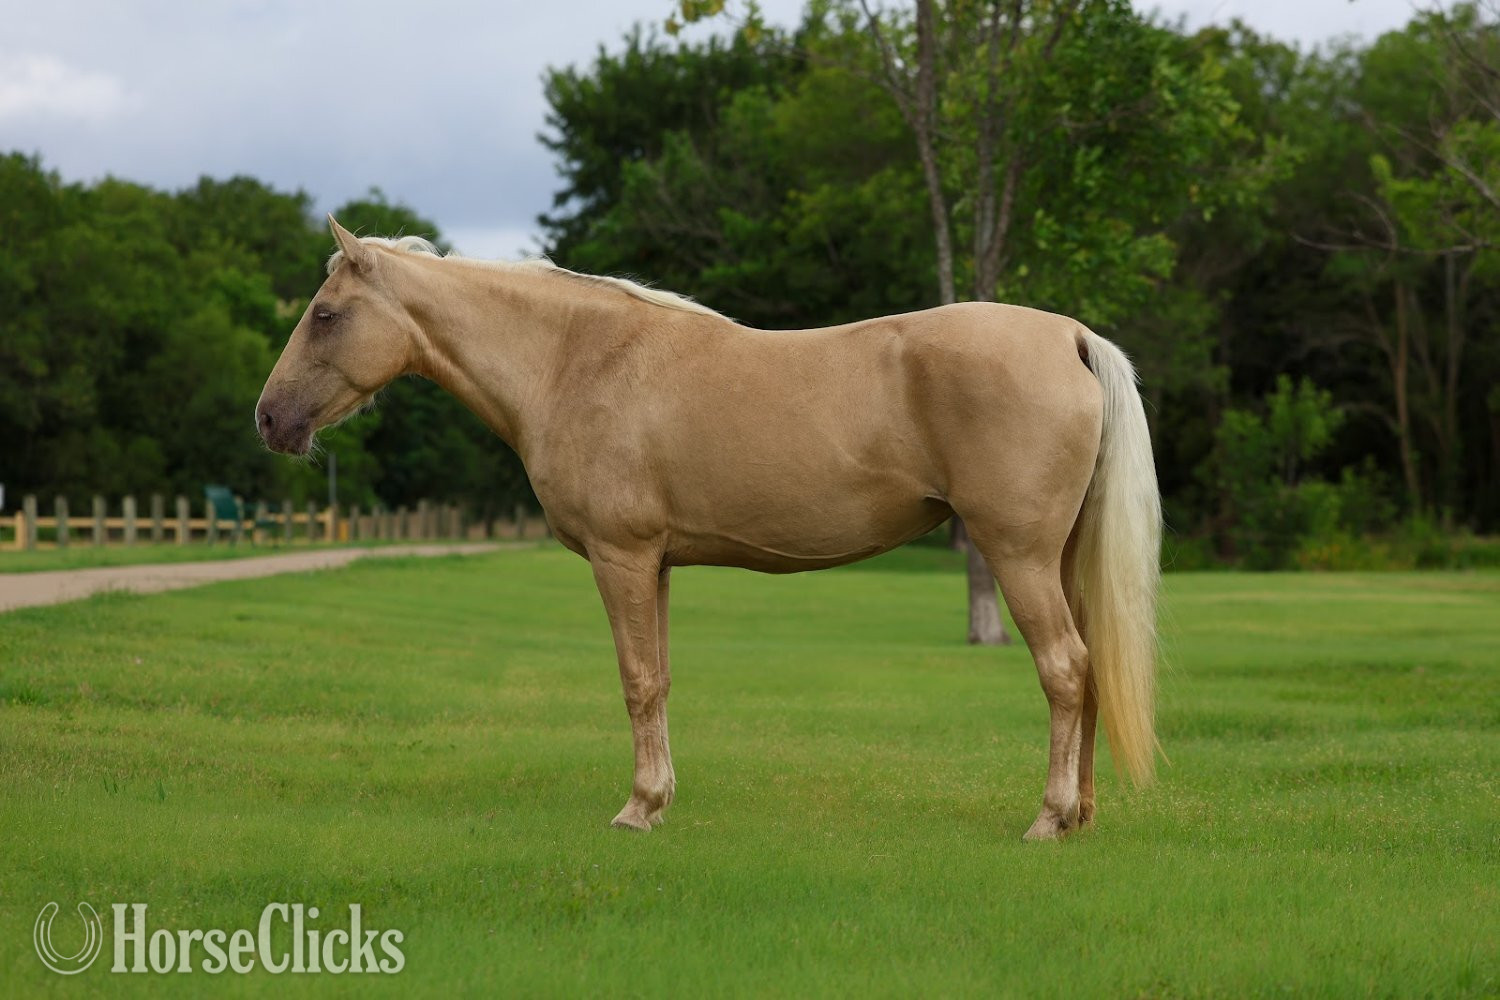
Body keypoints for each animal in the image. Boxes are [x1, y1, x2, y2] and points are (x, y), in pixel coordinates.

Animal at [256, 217, 1161, 840]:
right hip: (1060, 559)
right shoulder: (656, 562)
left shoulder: (619, 558)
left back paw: (1047, 819)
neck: (577, 359)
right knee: (1088, 668)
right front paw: (658, 801)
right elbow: (658, 679)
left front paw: (635, 810)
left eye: (326, 314)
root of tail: (1070, 337)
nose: (269, 419)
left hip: (1017, 555)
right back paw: (1080, 814)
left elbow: (634, 681)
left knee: (1065, 668)